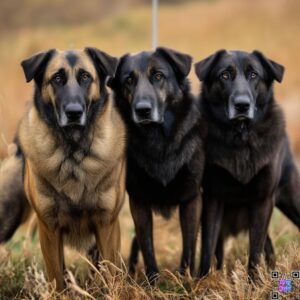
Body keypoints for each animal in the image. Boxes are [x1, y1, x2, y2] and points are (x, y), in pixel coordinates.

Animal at [18, 48, 126, 290]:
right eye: (57, 78)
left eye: (85, 77)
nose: (74, 112)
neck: (73, 154)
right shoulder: (49, 228)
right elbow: (56, 275)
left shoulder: (106, 224)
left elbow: (111, 271)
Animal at [111, 47, 205, 282]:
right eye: (129, 80)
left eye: (158, 76)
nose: (142, 110)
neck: (159, 139)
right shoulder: (138, 201)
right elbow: (147, 246)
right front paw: (151, 282)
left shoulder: (191, 199)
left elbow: (189, 245)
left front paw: (186, 280)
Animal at [195, 49, 298, 278]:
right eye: (225, 75)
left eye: (253, 75)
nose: (242, 105)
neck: (241, 138)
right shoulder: (213, 198)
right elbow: (207, 247)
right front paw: (203, 282)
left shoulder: (262, 200)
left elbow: (255, 250)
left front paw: (255, 282)